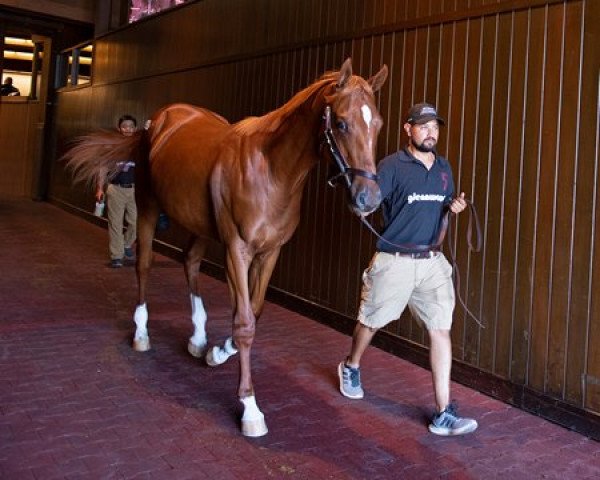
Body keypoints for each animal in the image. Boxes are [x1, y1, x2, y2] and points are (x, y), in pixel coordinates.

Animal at [63, 58, 386, 436]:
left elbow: (252, 313)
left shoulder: (269, 252)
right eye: (341, 122)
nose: (369, 199)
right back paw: (141, 332)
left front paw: (216, 352)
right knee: (143, 265)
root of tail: (160, 120)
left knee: (190, 261)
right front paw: (250, 407)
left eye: (377, 124)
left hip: (200, 224)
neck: (272, 171)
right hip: (147, 206)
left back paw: (198, 338)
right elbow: (244, 324)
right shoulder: (237, 248)